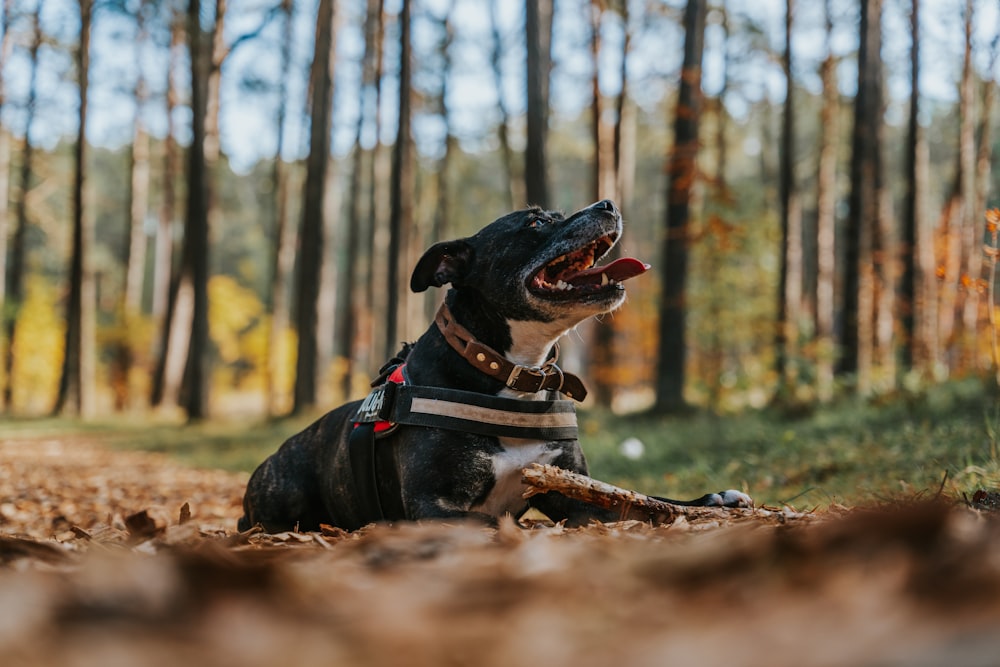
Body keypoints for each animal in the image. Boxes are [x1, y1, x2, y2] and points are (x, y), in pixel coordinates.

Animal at [236, 198, 752, 532]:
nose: (607, 202)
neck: (514, 371)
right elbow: (493, 523)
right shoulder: (437, 506)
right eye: (535, 222)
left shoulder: (572, 491)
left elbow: (642, 501)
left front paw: (713, 501)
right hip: (285, 491)